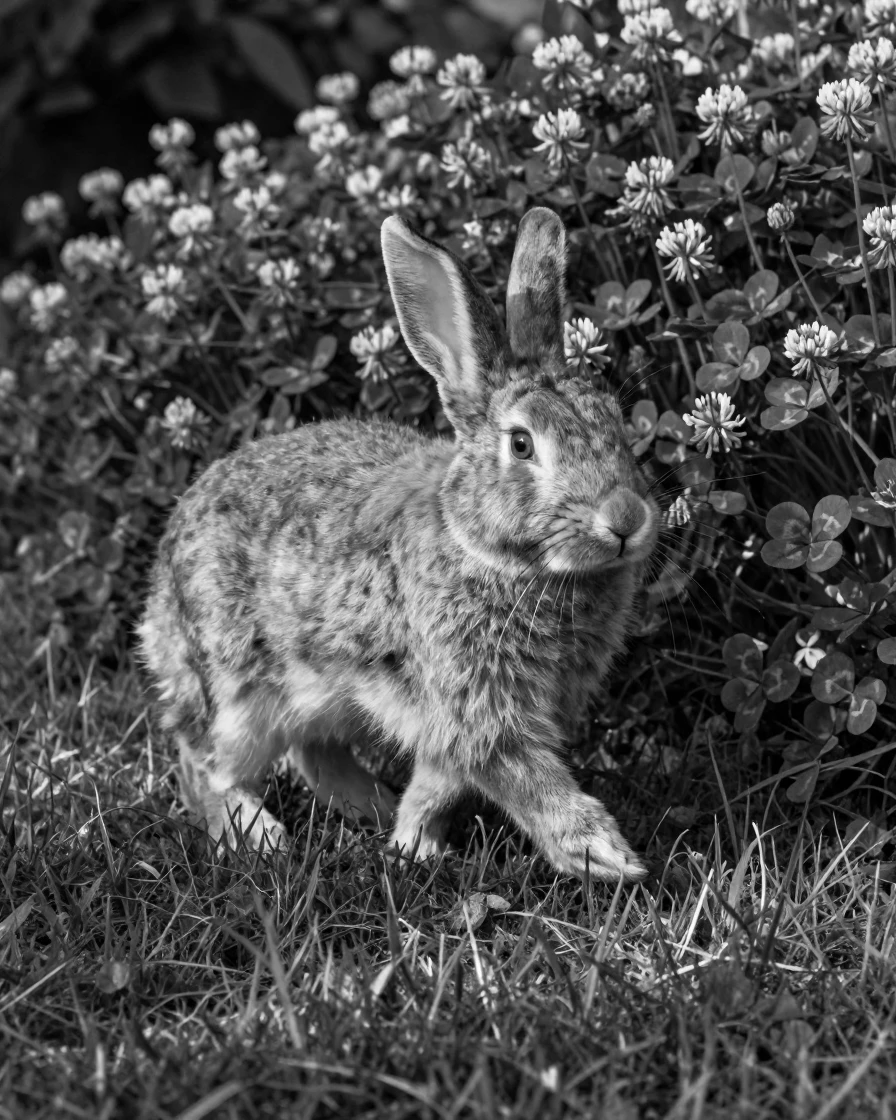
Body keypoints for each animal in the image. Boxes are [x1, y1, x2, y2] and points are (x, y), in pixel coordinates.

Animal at [137, 206, 659, 881]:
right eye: (522, 445)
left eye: (617, 423)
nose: (624, 518)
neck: (491, 554)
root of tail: (162, 574)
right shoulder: (477, 710)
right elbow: (523, 778)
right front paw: (605, 856)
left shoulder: (458, 723)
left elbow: (440, 786)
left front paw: (413, 844)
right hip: (235, 694)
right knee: (201, 766)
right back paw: (259, 837)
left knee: (313, 754)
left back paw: (372, 810)